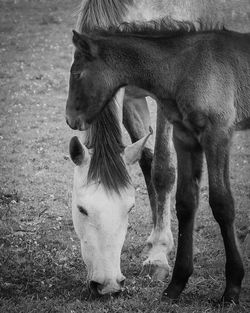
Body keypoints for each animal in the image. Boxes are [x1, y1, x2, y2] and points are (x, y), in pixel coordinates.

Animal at [65, 18, 249, 302]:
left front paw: (232, 288)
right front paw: (176, 284)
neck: (186, 66)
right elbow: (185, 203)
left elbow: (222, 204)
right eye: (82, 209)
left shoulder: (218, 135)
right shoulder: (185, 138)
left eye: (76, 73)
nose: (70, 118)